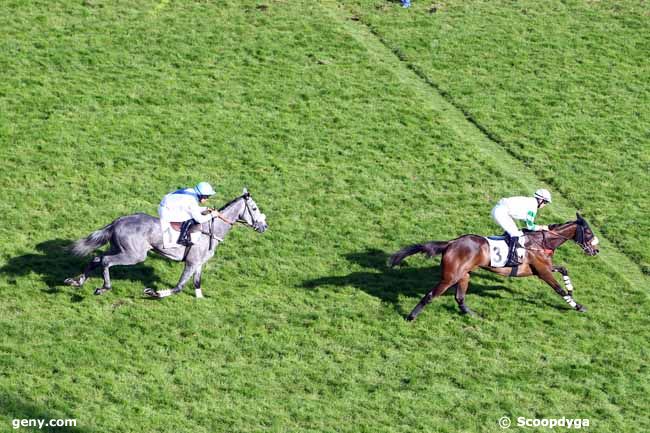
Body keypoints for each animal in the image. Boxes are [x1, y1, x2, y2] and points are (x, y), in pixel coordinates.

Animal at [64, 188, 268, 296]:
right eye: (254, 209)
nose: (264, 226)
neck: (211, 230)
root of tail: (117, 222)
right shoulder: (192, 262)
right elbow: (178, 287)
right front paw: (154, 293)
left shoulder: (199, 263)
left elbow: (197, 284)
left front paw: (200, 300)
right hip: (134, 255)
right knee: (106, 261)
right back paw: (103, 287)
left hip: (119, 248)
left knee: (97, 258)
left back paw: (77, 281)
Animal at [388, 213, 600, 318]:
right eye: (589, 232)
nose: (596, 250)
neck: (542, 242)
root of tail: (451, 243)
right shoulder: (542, 271)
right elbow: (558, 289)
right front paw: (577, 305)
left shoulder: (541, 268)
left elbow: (564, 268)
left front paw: (571, 289)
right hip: (451, 276)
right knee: (431, 295)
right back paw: (411, 316)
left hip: (464, 274)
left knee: (459, 297)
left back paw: (472, 315)